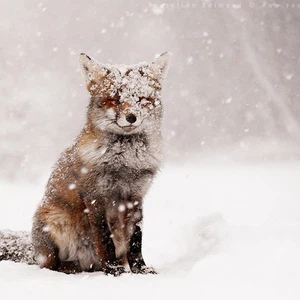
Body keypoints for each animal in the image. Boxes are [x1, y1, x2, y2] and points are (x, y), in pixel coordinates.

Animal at [0, 52, 169, 276]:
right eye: (114, 99)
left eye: (142, 99)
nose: (131, 117)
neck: (124, 163)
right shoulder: (95, 197)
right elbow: (104, 239)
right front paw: (113, 270)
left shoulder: (136, 197)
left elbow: (136, 241)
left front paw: (140, 269)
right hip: (55, 222)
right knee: (51, 265)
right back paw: (69, 268)